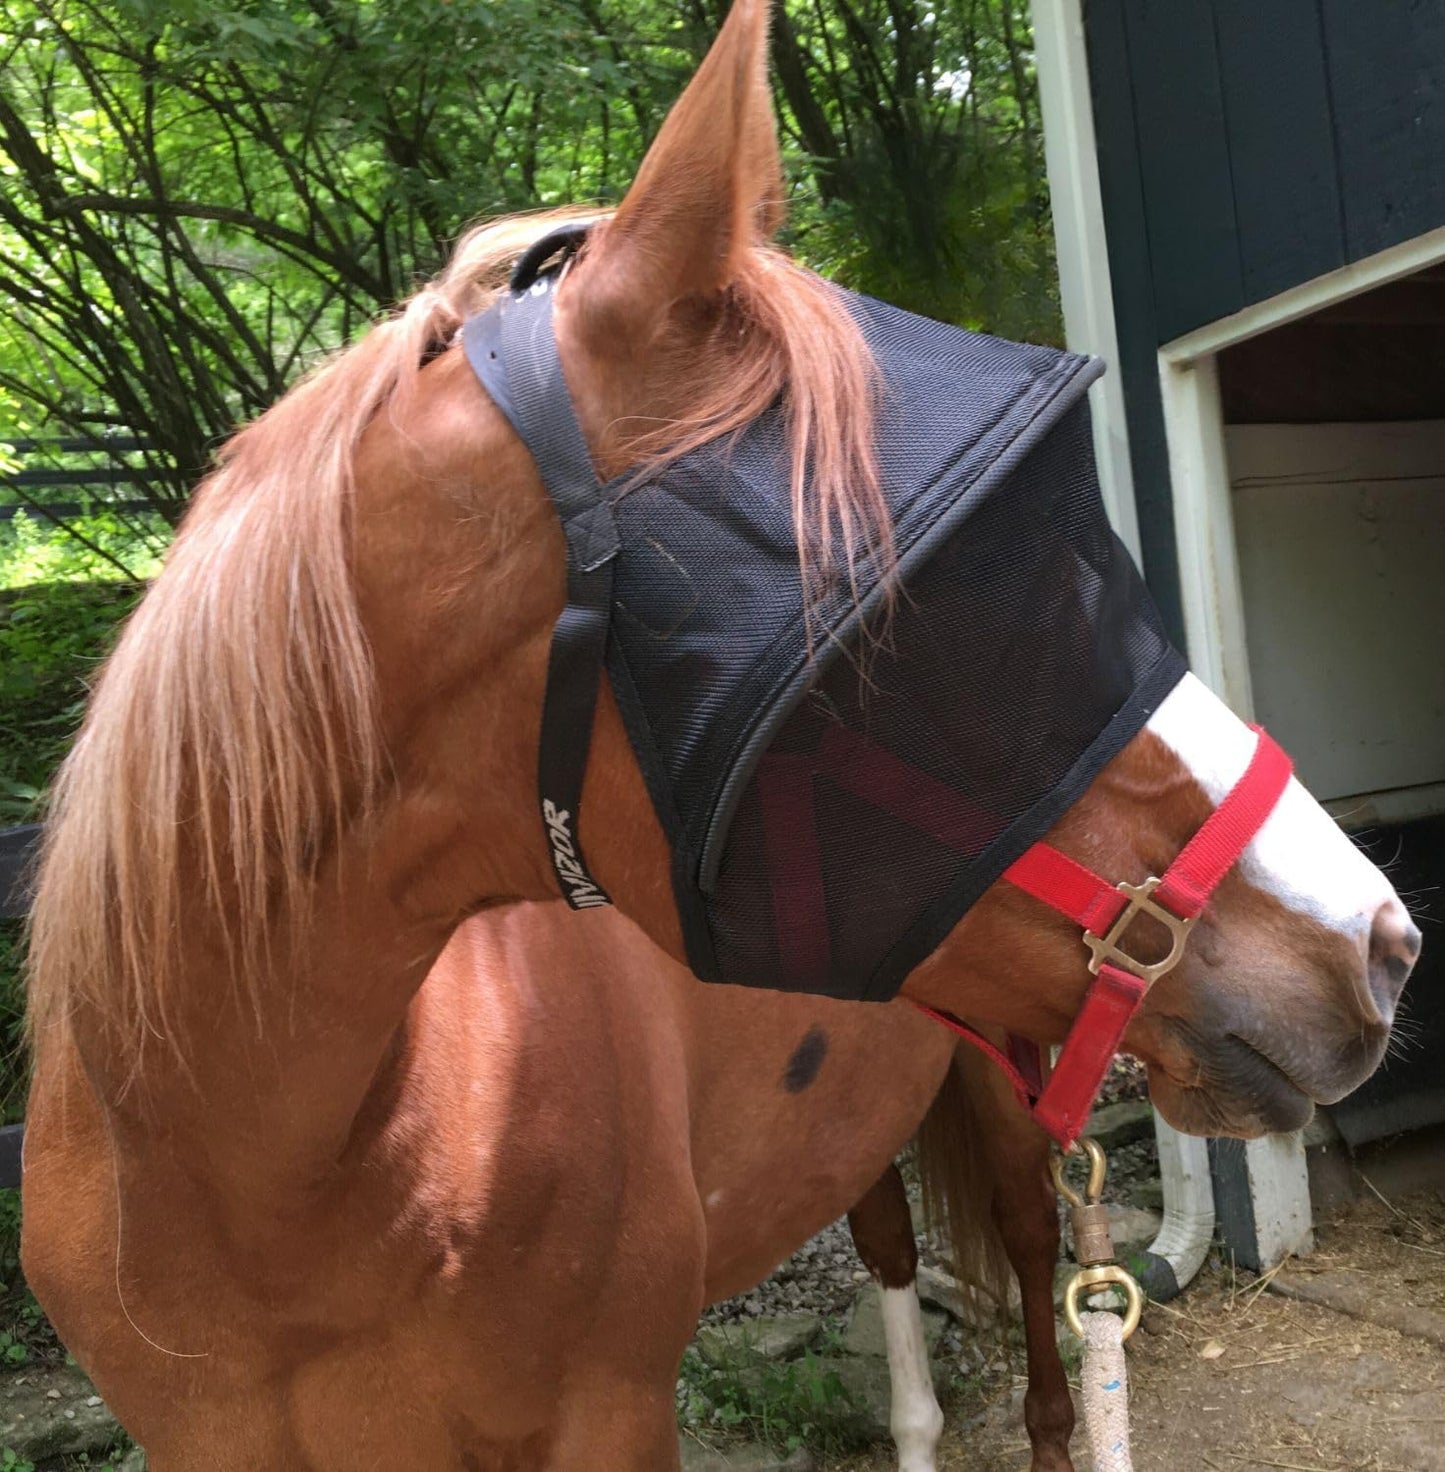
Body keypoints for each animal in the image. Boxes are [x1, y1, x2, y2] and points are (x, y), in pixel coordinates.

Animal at [21, 1, 1417, 1467]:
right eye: (925, 626)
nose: (1376, 942)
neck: (268, 1184)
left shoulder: (609, 1413)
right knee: (884, 1238)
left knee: (1034, 1250)